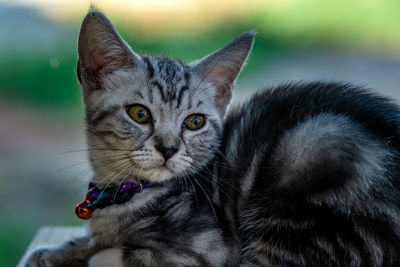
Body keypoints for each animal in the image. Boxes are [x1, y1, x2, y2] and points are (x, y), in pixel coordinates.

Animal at [25, 7, 400, 266]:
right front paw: (57, 251)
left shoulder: (208, 250)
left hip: (311, 159)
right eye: (139, 114)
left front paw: (90, 251)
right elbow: (92, 243)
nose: (168, 149)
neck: (126, 194)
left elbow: (111, 255)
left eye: (194, 122)